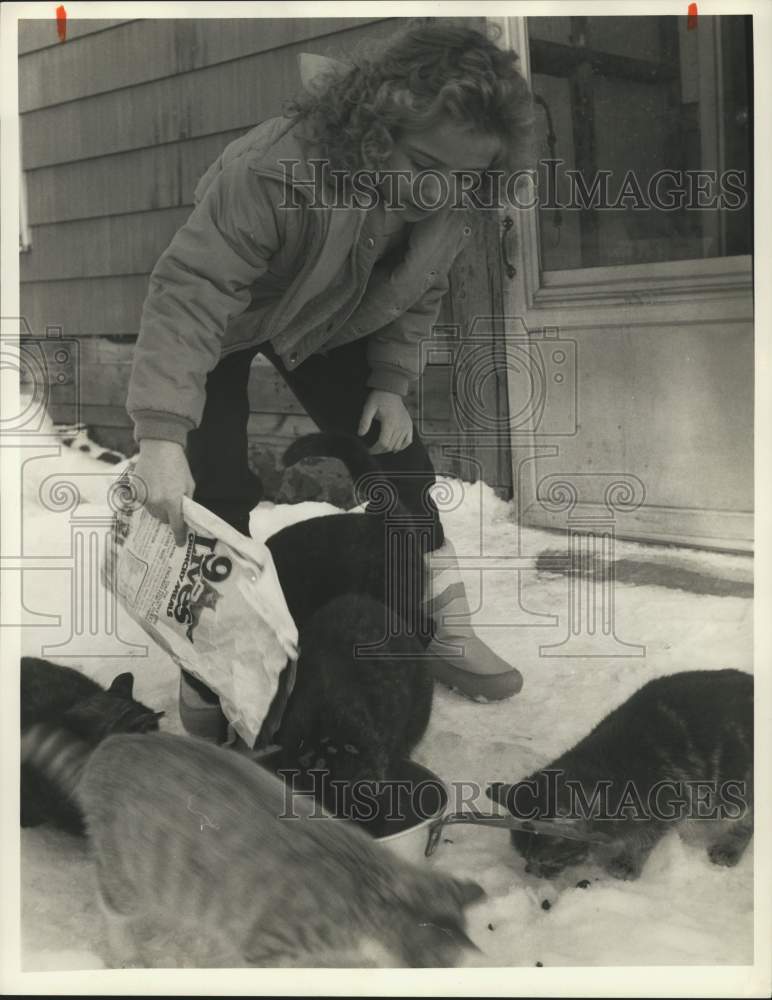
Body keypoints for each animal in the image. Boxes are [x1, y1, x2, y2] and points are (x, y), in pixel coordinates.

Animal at [22, 724, 482, 964]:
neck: (366, 892)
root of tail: (112, 744)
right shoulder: (266, 950)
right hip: (129, 877)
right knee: (109, 903)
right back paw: (127, 951)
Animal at [488, 668, 752, 880]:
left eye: (545, 860)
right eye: (524, 858)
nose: (530, 871)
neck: (601, 767)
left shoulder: (667, 806)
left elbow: (644, 840)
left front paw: (627, 863)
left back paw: (730, 847)